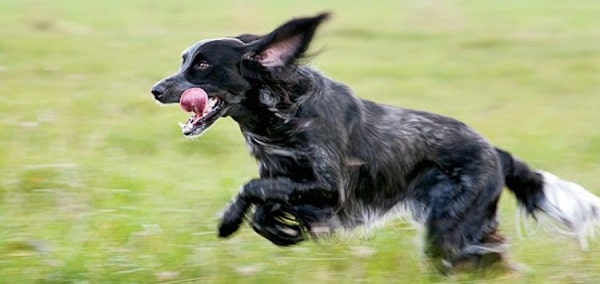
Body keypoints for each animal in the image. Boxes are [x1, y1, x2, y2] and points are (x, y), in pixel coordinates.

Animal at [154, 12, 600, 272]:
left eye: (203, 64)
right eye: (183, 60)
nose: (157, 90)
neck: (283, 112)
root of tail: (496, 153)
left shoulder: (330, 188)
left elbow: (253, 188)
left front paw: (231, 222)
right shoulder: (291, 182)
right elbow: (265, 200)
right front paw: (278, 229)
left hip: (450, 231)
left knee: (489, 261)